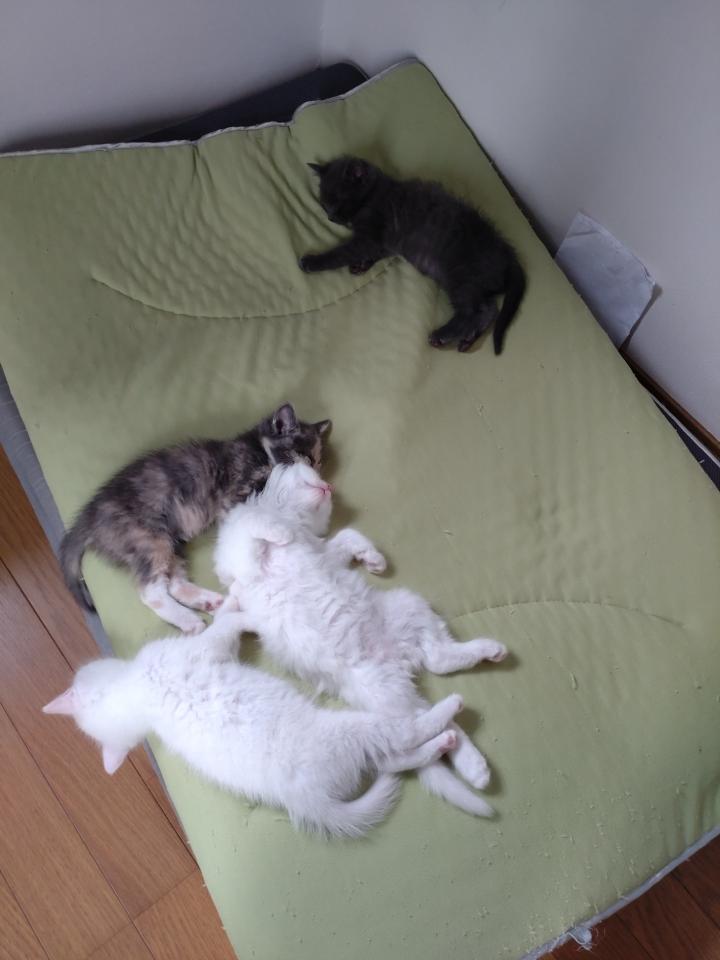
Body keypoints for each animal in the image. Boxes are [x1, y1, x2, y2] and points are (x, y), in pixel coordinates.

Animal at [42, 610, 464, 838]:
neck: (137, 696)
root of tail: (305, 800)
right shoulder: (206, 649)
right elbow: (226, 626)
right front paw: (241, 609)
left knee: (394, 760)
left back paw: (440, 745)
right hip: (350, 729)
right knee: (401, 738)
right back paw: (445, 717)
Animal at [60, 403, 331, 634]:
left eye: (318, 461)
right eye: (303, 458)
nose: (317, 473)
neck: (258, 450)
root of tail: (90, 515)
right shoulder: (235, 493)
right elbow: (257, 513)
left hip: (170, 542)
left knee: (173, 583)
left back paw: (208, 601)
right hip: (148, 538)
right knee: (151, 591)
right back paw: (188, 620)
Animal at [214, 462, 508, 818]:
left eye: (324, 484)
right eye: (311, 476)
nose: (328, 486)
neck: (294, 520)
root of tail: (396, 660)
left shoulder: (325, 551)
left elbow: (348, 535)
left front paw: (373, 559)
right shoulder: (243, 551)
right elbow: (261, 526)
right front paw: (281, 533)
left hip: (408, 608)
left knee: (439, 663)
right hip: (389, 693)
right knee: (426, 721)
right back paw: (472, 763)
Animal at [299, 155, 526, 355]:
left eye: (339, 200)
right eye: (324, 203)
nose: (331, 217)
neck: (374, 193)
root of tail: (508, 253)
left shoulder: (370, 236)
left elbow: (342, 253)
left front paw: (311, 262)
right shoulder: (385, 243)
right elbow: (376, 252)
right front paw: (361, 265)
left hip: (462, 276)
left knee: (477, 311)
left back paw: (442, 335)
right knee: (489, 310)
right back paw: (467, 340)